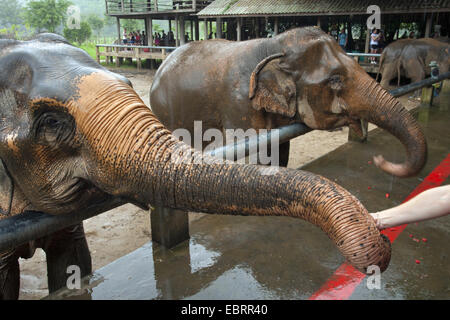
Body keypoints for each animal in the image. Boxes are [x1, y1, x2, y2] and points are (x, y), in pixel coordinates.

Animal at [149, 26, 428, 178]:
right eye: (335, 79)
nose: (380, 159)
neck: (274, 45)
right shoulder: (239, 101)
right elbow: (257, 151)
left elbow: (280, 147)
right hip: (167, 111)